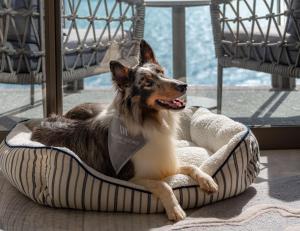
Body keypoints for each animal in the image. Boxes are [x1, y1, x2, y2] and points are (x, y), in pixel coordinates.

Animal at [31, 40, 218, 221]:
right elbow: (163, 184)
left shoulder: (166, 165)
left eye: (162, 72)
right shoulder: (129, 177)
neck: (149, 120)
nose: (183, 85)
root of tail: (42, 123)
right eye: (148, 83)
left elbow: (191, 166)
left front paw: (207, 180)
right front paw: (175, 209)